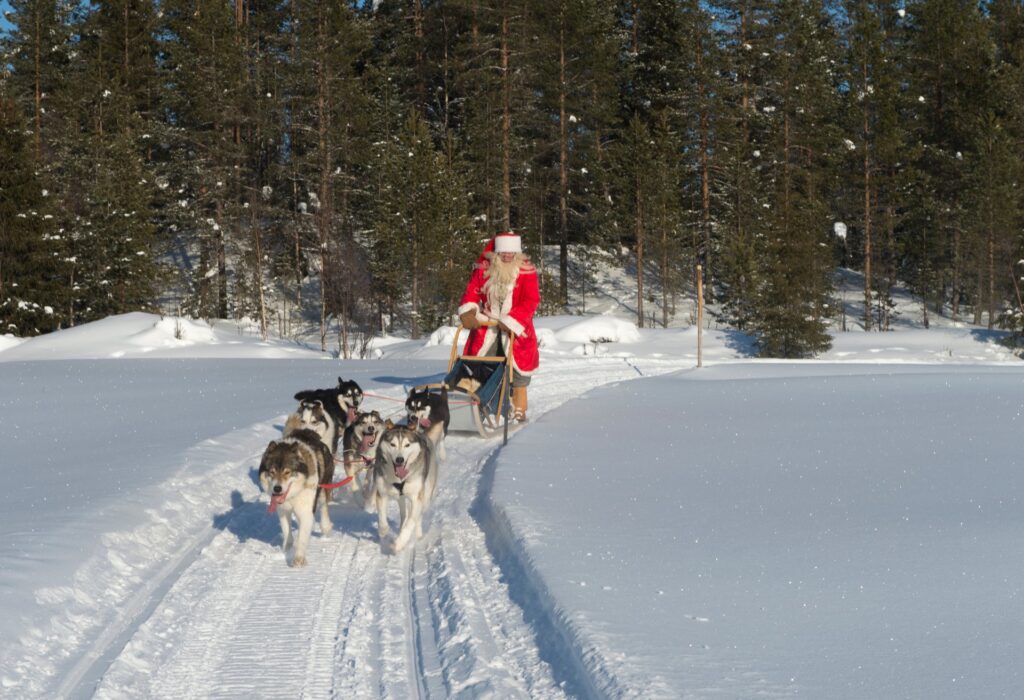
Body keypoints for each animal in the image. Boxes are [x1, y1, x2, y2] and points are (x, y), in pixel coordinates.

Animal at [260, 425, 335, 569]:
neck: (293, 495)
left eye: (287, 472)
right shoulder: (283, 511)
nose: (277, 489)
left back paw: (326, 527)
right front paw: (287, 550)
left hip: (324, 487)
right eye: (272, 472)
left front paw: (299, 558)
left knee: (324, 507)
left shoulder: (306, 512)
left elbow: (302, 537)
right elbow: (287, 532)